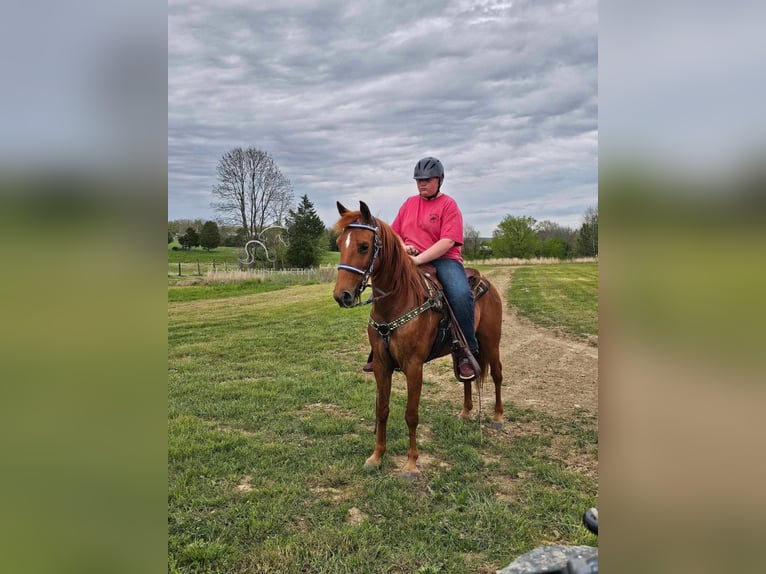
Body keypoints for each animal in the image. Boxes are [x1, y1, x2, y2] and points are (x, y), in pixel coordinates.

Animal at [332, 202, 504, 482]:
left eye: (364, 246)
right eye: (339, 244)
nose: (342, 296)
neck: (398, 302)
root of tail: (486, 282)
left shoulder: (414, 367)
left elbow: (411, 415)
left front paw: (411, 464)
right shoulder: (381, 366)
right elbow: (382, 410)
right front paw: (376, 456)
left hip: (492, 342)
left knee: (498, 374)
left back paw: (498, 416)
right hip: (461, 351)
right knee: (467, 376)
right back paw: (466, 411)